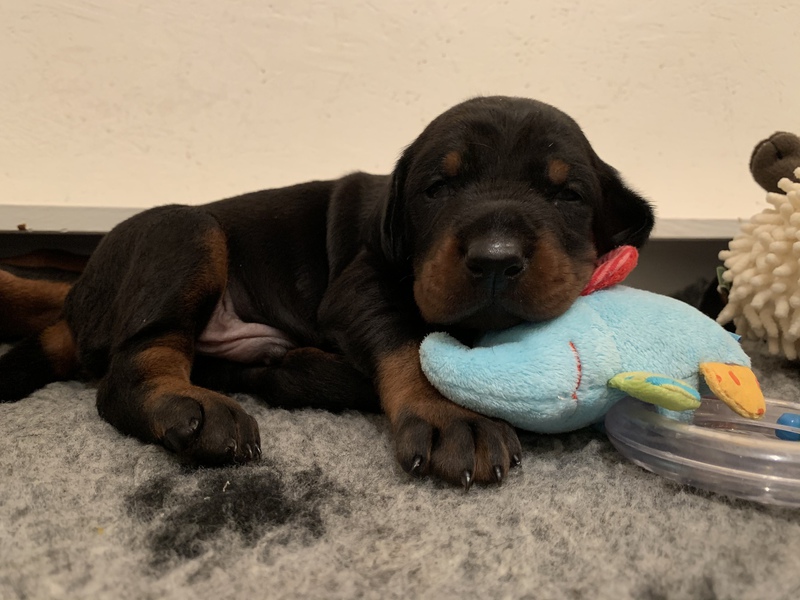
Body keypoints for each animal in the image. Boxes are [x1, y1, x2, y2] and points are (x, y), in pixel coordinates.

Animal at [0, 96, 654, 489]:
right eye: (437, 188)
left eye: (568, 196)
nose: (495, 258)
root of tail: (78, 298)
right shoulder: (359, 283)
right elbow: (409, 343)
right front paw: (450, 416)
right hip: (188, 230)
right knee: (133, 366)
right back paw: (190, 405)